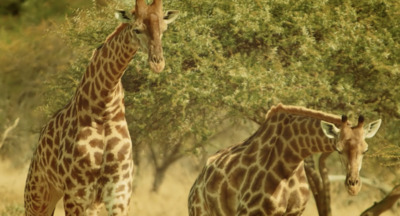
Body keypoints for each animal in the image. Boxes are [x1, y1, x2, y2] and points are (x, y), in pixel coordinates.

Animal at [22, 0, 177, 215]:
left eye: (164, 29)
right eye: (137, 29)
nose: (157, 63)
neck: (103, 109)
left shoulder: (119, 190)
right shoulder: (77, 191)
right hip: (37, 195)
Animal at [188, 104, 382, 215]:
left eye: (366, 150)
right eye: (338, 149)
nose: (353, 186)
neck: (291, 159)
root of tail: (196, 185)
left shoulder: (293, 213)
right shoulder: (249, 212)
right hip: (200, 213)